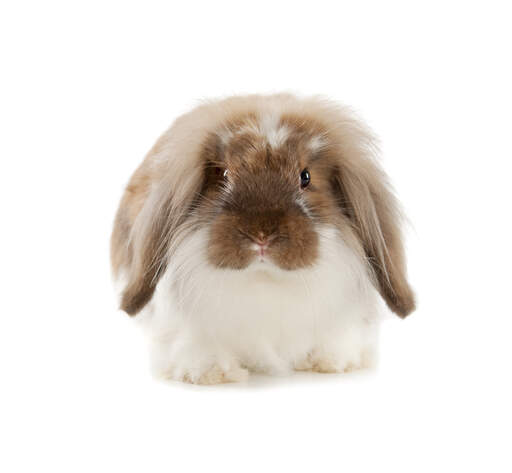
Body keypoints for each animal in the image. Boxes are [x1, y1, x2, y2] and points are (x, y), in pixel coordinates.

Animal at [110, 93, 414, 384]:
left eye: (305, 177)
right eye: (224, 174)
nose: (261, 234)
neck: (264, 280)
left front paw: (330, 362)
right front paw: (212, 373)